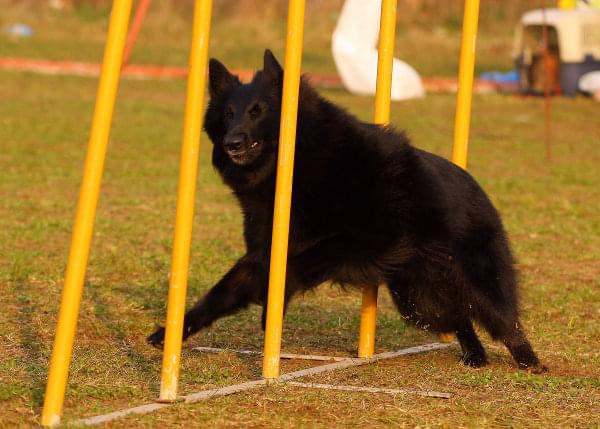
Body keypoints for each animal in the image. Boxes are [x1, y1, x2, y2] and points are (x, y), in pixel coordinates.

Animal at [148, 49, 548, 372]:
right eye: (228, 114)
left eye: (258, 112)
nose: (232, 142)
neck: (304, 160)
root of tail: (479, 189)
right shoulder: (263, 250)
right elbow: (222, 292)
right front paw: (171, 332)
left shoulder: (374, 237)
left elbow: (306, 260)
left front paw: (273, 303)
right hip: (417, 300)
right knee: (459, 316)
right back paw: (475, 355)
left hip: (471, 283)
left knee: (504, 320)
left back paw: (531, 363)